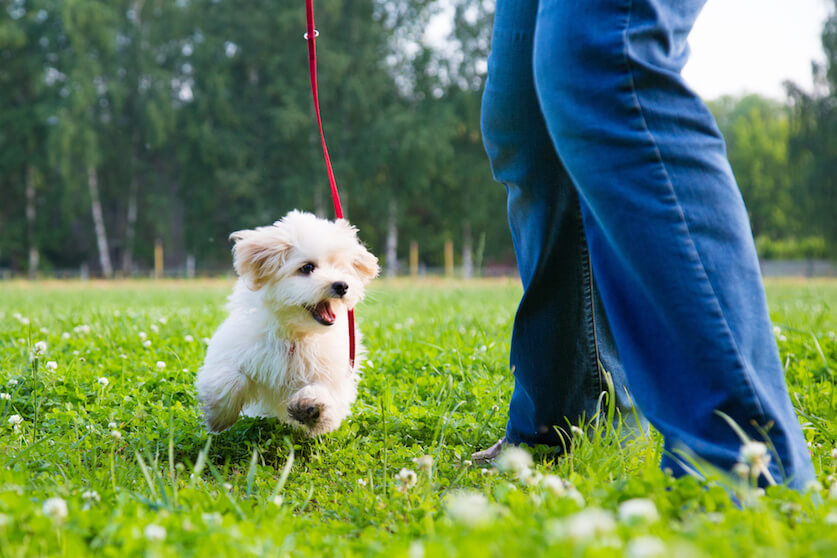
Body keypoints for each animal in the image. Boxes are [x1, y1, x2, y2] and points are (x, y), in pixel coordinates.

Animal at [194, 211, 378, 438]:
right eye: (307, 267)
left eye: (341, 267)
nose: (342, 285)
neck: (295, 335)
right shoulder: (235, 349)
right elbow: (231, 378)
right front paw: (220, 417)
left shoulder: (334, 370)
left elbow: (325, 391)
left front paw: (310, 407)